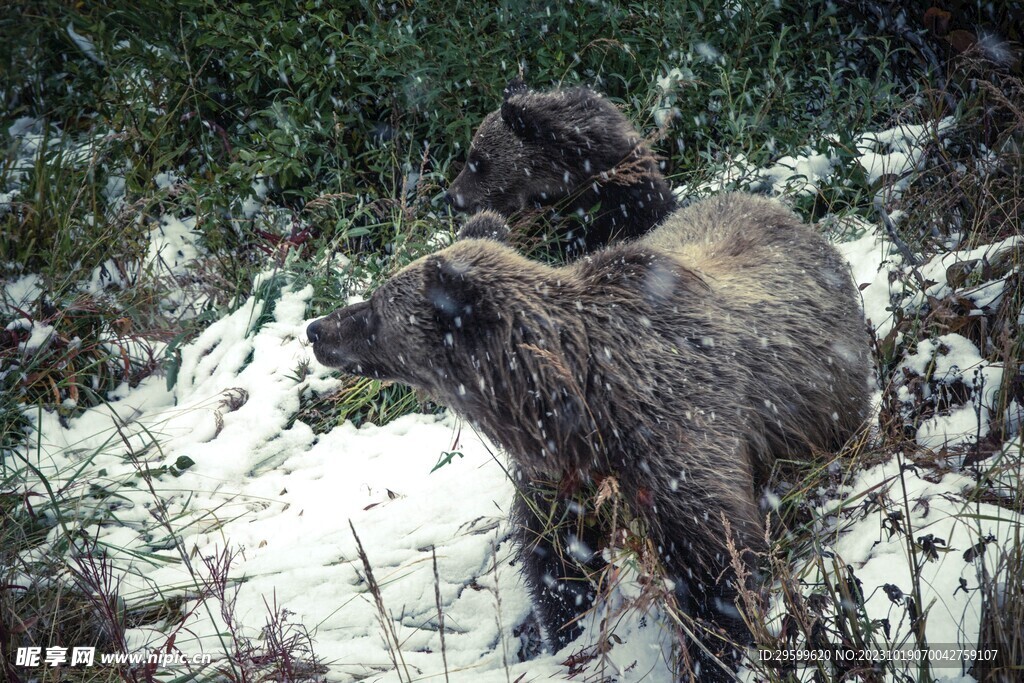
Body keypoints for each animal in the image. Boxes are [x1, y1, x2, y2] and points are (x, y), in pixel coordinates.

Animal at [305, 193, 872, 683]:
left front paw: (710, 656)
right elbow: (556, 556)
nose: (316, 328)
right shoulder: (562, 474)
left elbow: (719, 568)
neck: (575, 401)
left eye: (374, 308)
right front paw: (560, 630)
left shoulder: (676, 442)